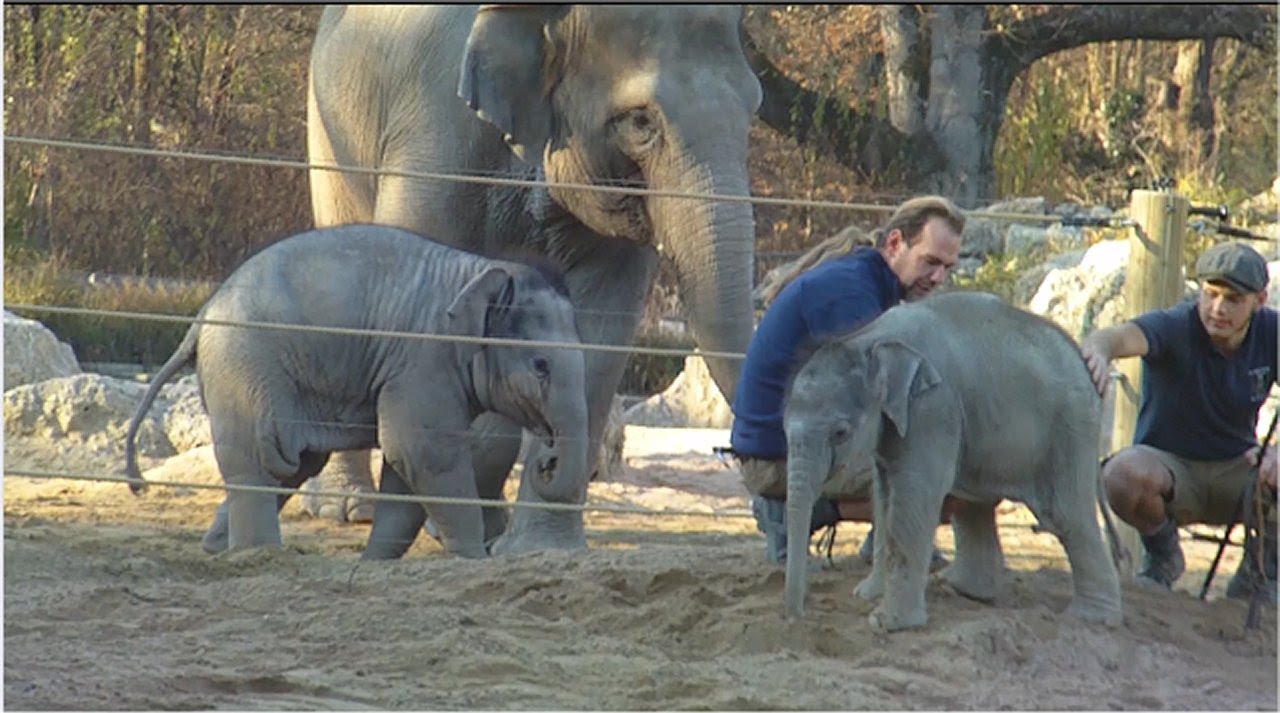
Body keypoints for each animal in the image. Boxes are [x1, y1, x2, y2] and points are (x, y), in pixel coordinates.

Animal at [124, 224, 589, 559]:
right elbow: (423, 453)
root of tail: (202, 316)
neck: (481, 270)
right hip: (247, 368)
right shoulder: (422, 363)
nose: (546, 460)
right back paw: (258, 556)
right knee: (264, 458)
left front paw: (375, 563)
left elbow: (405, 473)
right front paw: (474, 560)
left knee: (293, 464)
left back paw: (217, 549)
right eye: (541, 366)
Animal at [295, 4, 763, 554]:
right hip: (327, 132)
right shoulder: (439, 138)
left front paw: (540, 549)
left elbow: (600, 326)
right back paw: (350, 508)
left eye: (754, 108)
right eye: (640, 120)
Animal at [781, 291, 1123, 631]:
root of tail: (1082, 357)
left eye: (841, 433)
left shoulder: (933, 406)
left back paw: (1091, 617)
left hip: (1071, 428)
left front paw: (886, 622)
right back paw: (963, 588)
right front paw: (866, 594)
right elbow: (882, 492)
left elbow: (915, 490)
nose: (799, 617)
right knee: (973, 505)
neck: (869, 339)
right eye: (783, 427)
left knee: (1067, 514)